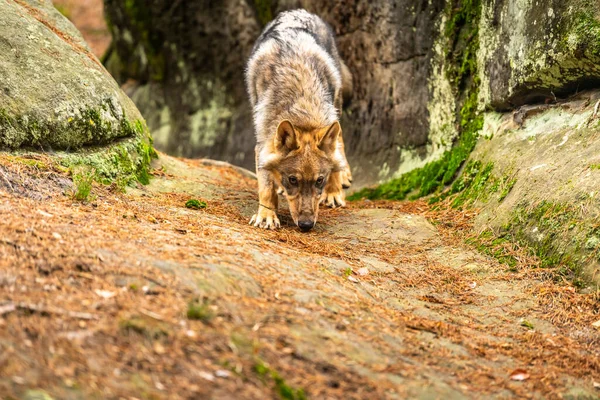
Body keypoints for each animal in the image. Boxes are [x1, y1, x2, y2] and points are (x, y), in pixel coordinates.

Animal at [246, 8, 354, 231]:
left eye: (319, 181)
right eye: (293, 180)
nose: (306, 224)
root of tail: (299, 11)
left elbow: (335, 158)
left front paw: (333, 192)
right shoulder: (262, 145)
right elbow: (266, 188)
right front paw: (266, 216)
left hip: (337, 104)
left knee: (340, 143)